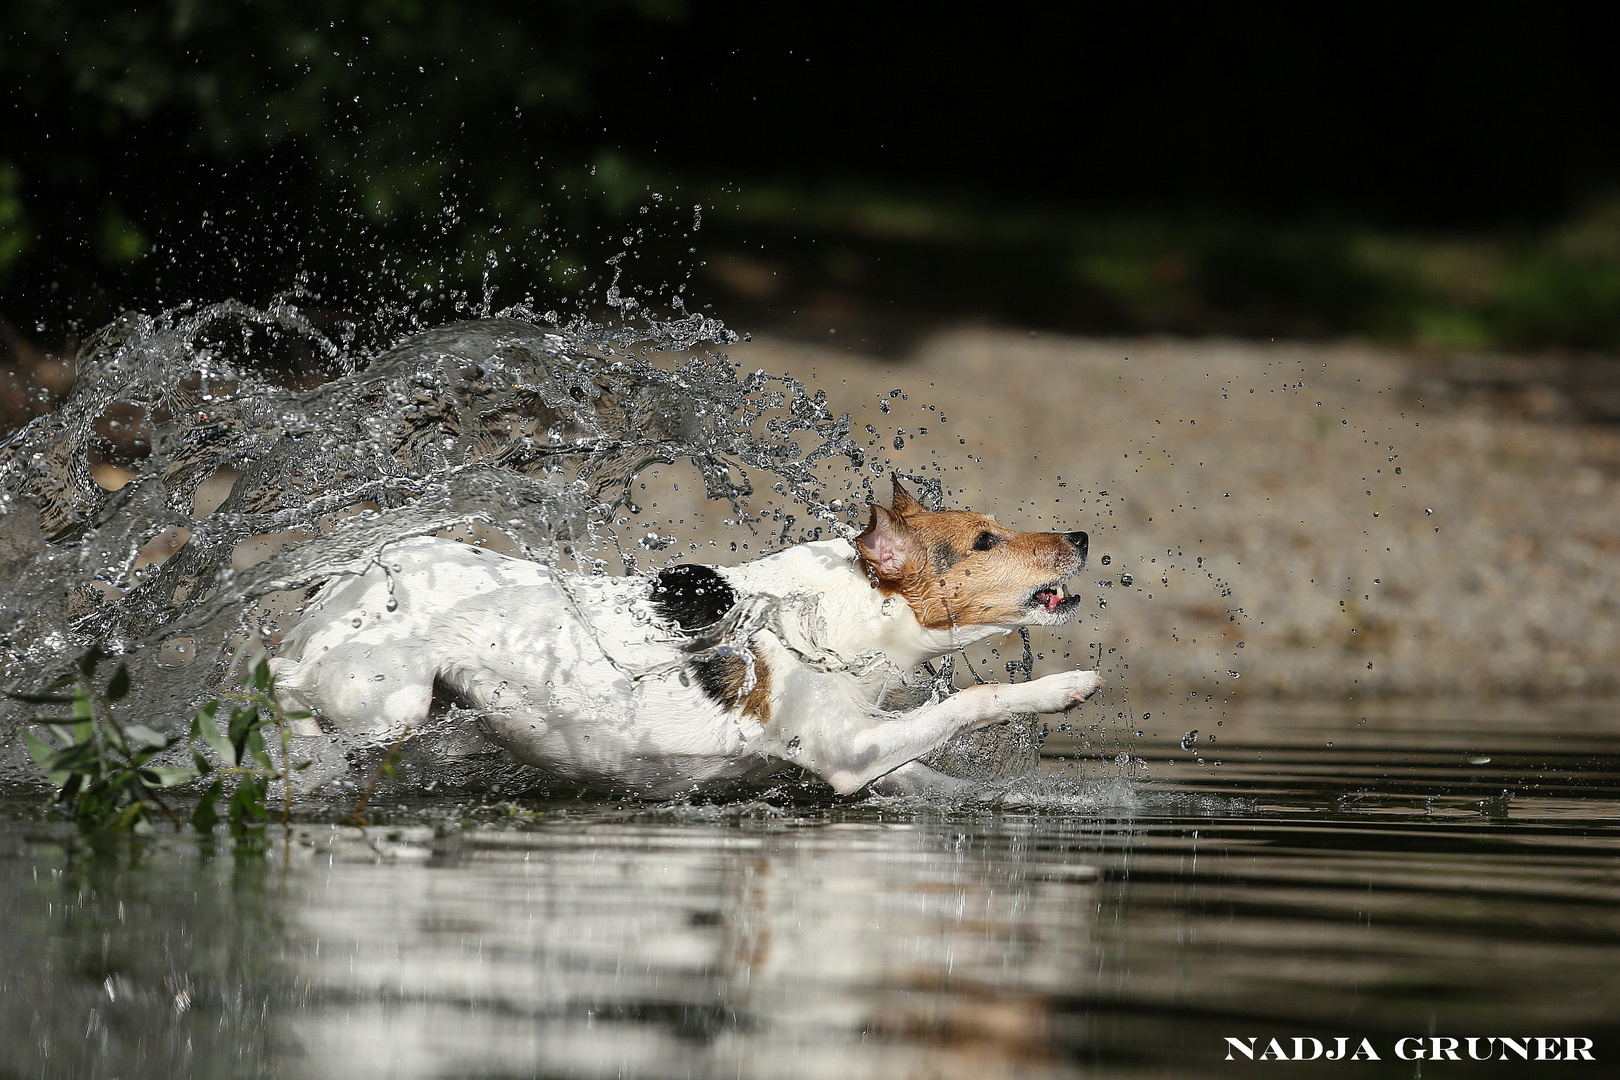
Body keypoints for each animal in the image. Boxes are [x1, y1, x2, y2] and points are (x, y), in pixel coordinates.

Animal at [272, 476, 1101, 799]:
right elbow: (974, 700)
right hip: (390, 701)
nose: (1083, 536)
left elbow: (931, 777)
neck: (839, 613)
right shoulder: (847, 755)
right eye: (985, 541)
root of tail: (345, 579)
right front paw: (1064, 688)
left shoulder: (864, 755)